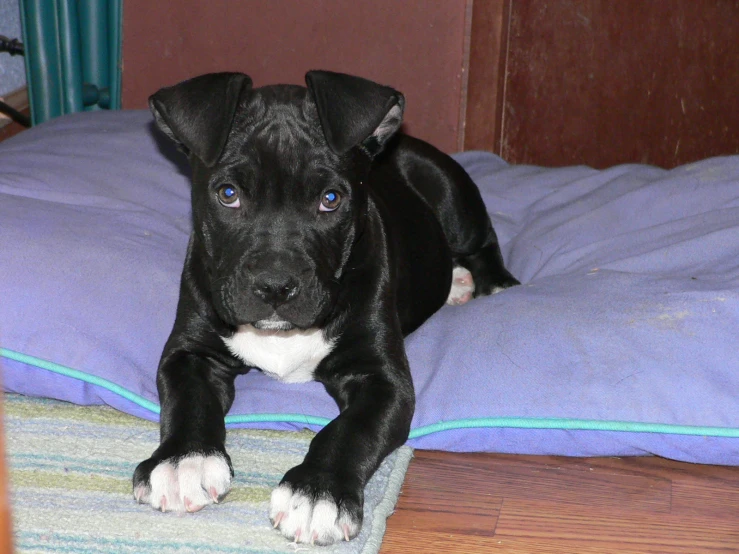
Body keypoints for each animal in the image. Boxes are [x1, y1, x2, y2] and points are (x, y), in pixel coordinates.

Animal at [133, 69, 516, 544]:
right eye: (228, 193)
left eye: (331, 199)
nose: (275, 286)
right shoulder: (189, 351)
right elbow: (189, 401)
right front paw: (183, 462)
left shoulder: (382, 380)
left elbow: (348, 431)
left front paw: (317, 493)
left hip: (452, 194)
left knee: (484, 241)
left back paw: (488, 284)